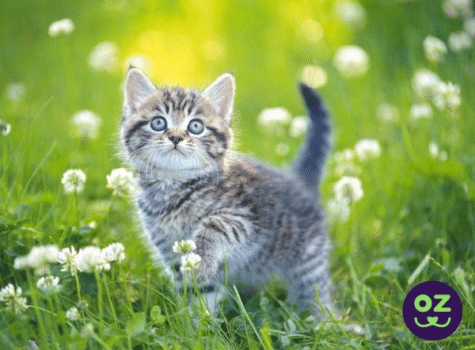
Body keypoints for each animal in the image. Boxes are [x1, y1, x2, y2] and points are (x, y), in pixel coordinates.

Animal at [121, 68, 332, 318]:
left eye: (195, 126)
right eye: (158, 123)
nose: (176, 137)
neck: (172, 186)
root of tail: (297, 178)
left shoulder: (248, 219)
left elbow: (215, 223)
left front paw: (201, 262)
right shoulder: (168, 248)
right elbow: (197, 291)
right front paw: (194, 325)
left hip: (309, 255)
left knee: (315, 288)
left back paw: (325, 321)